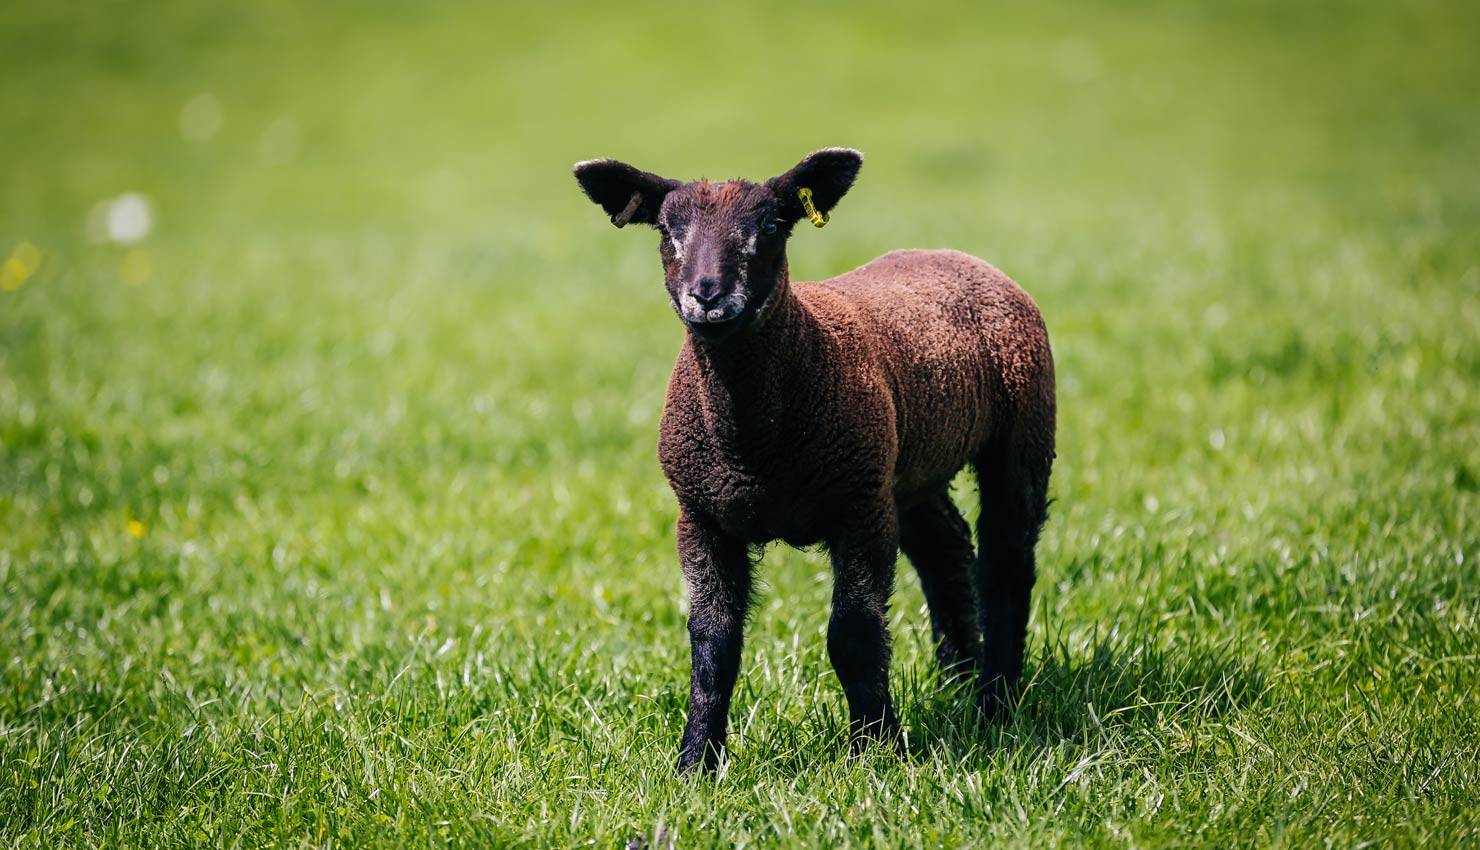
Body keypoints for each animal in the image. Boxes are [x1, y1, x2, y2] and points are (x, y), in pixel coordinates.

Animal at [573, 148, 1055, 772]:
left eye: (771, 226)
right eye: (666, 230)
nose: (707, 295)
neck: (754, 446)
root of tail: (951, 254)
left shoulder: (859, 508)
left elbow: (853, 634)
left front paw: (875, 750)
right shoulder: (701, 515)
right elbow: (713, 641)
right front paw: (696, 763)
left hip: (1019, 433)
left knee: (1006, 561)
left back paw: (996, 698)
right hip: (906, 470)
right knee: (946, 547)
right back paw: (959, 677)